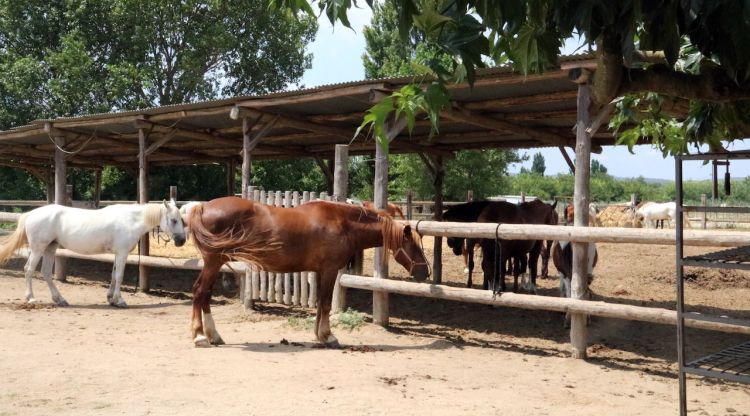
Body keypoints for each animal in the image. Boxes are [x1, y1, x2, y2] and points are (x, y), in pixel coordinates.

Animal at [0, 200, 187, 308]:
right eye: (174, 220)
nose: (182, 241)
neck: (130, 220)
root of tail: (30, 214)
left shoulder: (117, 254)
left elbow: (113, 276)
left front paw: (111, 299)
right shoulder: (122, 253)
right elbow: (119, 276)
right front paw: (120, 300)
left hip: (50, 248)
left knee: (45, 272)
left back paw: (60, 300)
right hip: (39, 248)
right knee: (29, 270)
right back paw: (31, 298)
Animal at [188, 197, 432, 346]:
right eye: (414, 246)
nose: (425, 272)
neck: (343, 223)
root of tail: (202, 207)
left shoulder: (320, 271)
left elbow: (320, 304)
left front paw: (319, 334)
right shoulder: (330, 269)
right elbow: (326, 303)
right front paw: (328, 336)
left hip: (216, 263)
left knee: (205, 295)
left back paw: (214, 336)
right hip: (214, 261)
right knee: (199, 292)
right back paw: (200, 336)